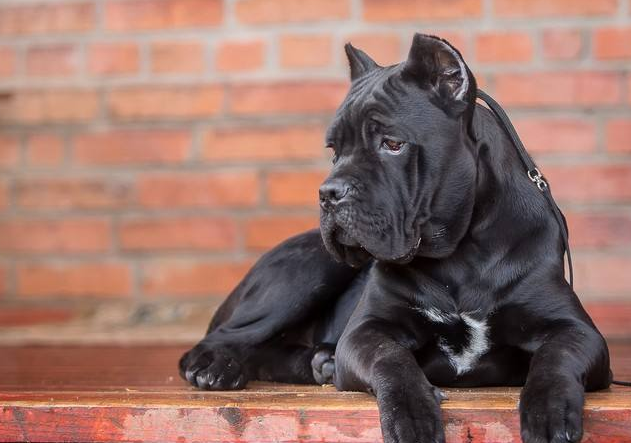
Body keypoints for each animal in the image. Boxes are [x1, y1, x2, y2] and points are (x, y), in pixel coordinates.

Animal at [181, 34, 612, 443]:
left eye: (392, 143)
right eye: (335, 151)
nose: (329, 193)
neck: (461, 254)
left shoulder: (578, 331)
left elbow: (555, 360)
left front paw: (549, 411)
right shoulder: (366, 331)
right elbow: (391, 359)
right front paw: (412, 414)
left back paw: (319, 362)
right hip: (308, 269)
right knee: (223, 337)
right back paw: (217, 367)